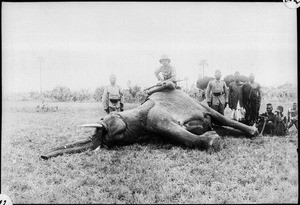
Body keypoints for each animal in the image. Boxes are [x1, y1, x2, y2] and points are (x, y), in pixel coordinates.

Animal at [41, 89, 258, 159]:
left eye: (102, 124)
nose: (43, 156)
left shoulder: (155, 116)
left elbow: (174, 130)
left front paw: (214, 142)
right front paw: (212, 137)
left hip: (196, 102)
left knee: (219, 117)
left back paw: (253, 131)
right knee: (217, 123)